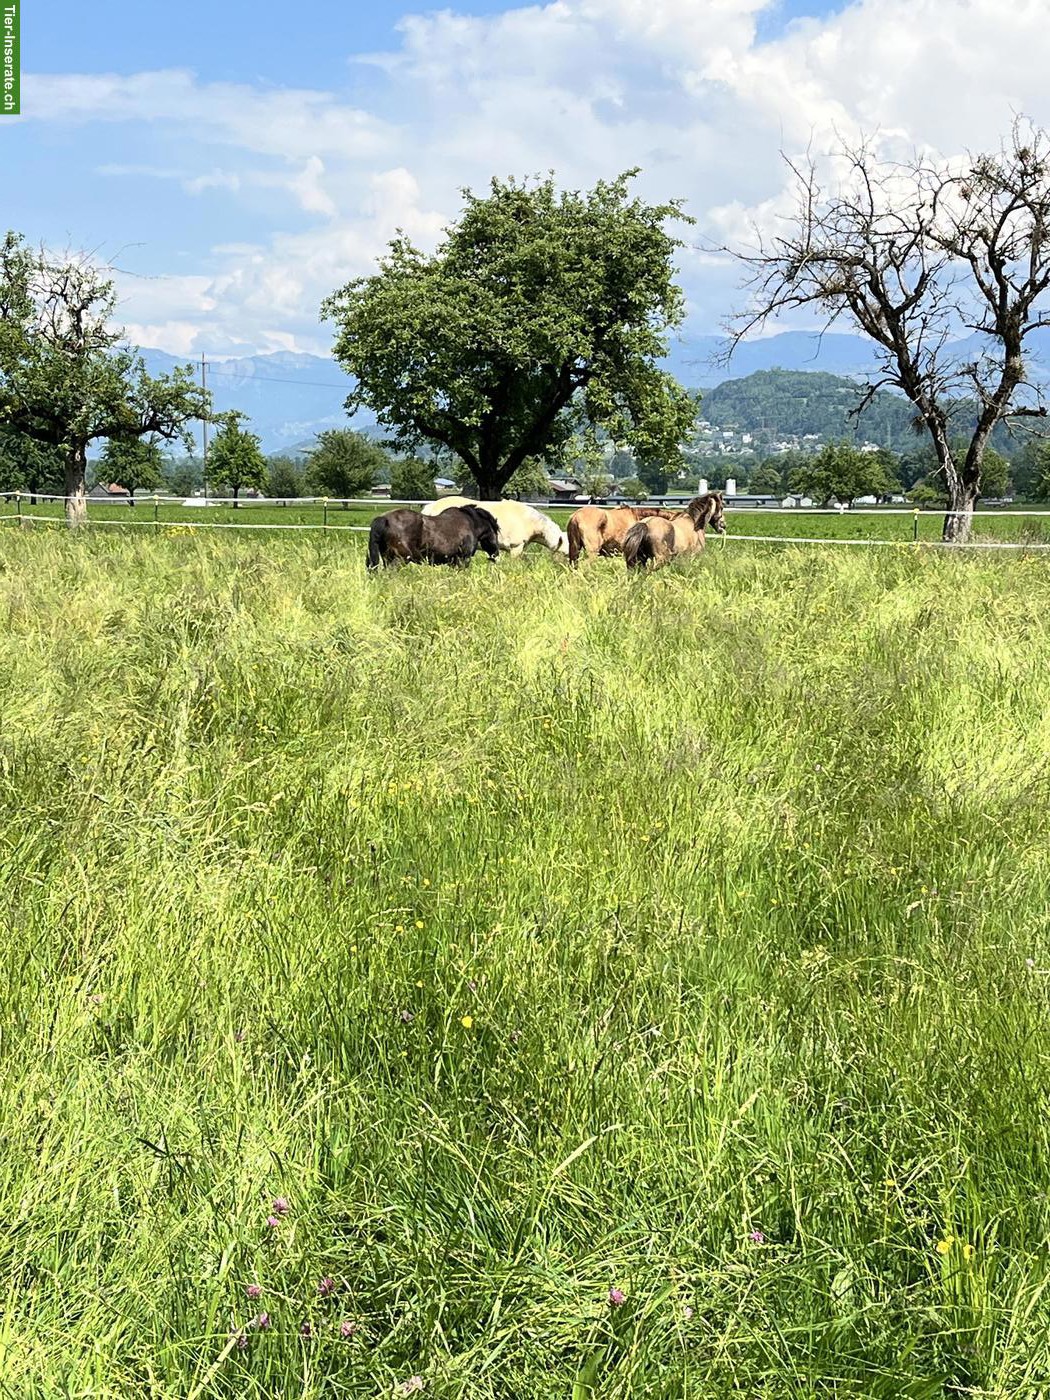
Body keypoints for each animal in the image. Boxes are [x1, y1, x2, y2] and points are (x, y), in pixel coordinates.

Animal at [366, 505, 501, 572]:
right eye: (496, 532)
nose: (496, 554)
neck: (471, 523)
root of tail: (384, 519)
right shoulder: (463, 559)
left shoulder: (453, 562)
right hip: (400, 559)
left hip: (387, 558)